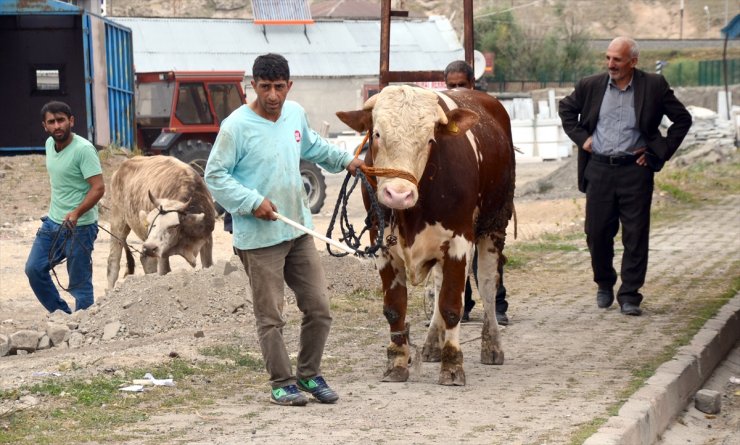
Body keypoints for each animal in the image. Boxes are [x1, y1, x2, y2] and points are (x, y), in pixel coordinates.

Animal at [106, 155, 217, 288]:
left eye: (174, 226)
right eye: (149, 224)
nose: (149, 248)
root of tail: (121, 168)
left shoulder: (207, 239)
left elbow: (208, 265)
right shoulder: (162, 255)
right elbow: (164, 271)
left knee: (146, 260)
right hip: (118, 223)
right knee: (113, 263)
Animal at [336, 85, 516, 384]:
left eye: (431, 139)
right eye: (377, 134)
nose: (398, 194)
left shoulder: (459, 240)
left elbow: (452, 306)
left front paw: (452, 365)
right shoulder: (382, 243)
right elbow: (395, 306)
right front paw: (397, 363)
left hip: (494, 226)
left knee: (488, 285)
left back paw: (492, 346)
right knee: (439, 285)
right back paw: (432, 344)